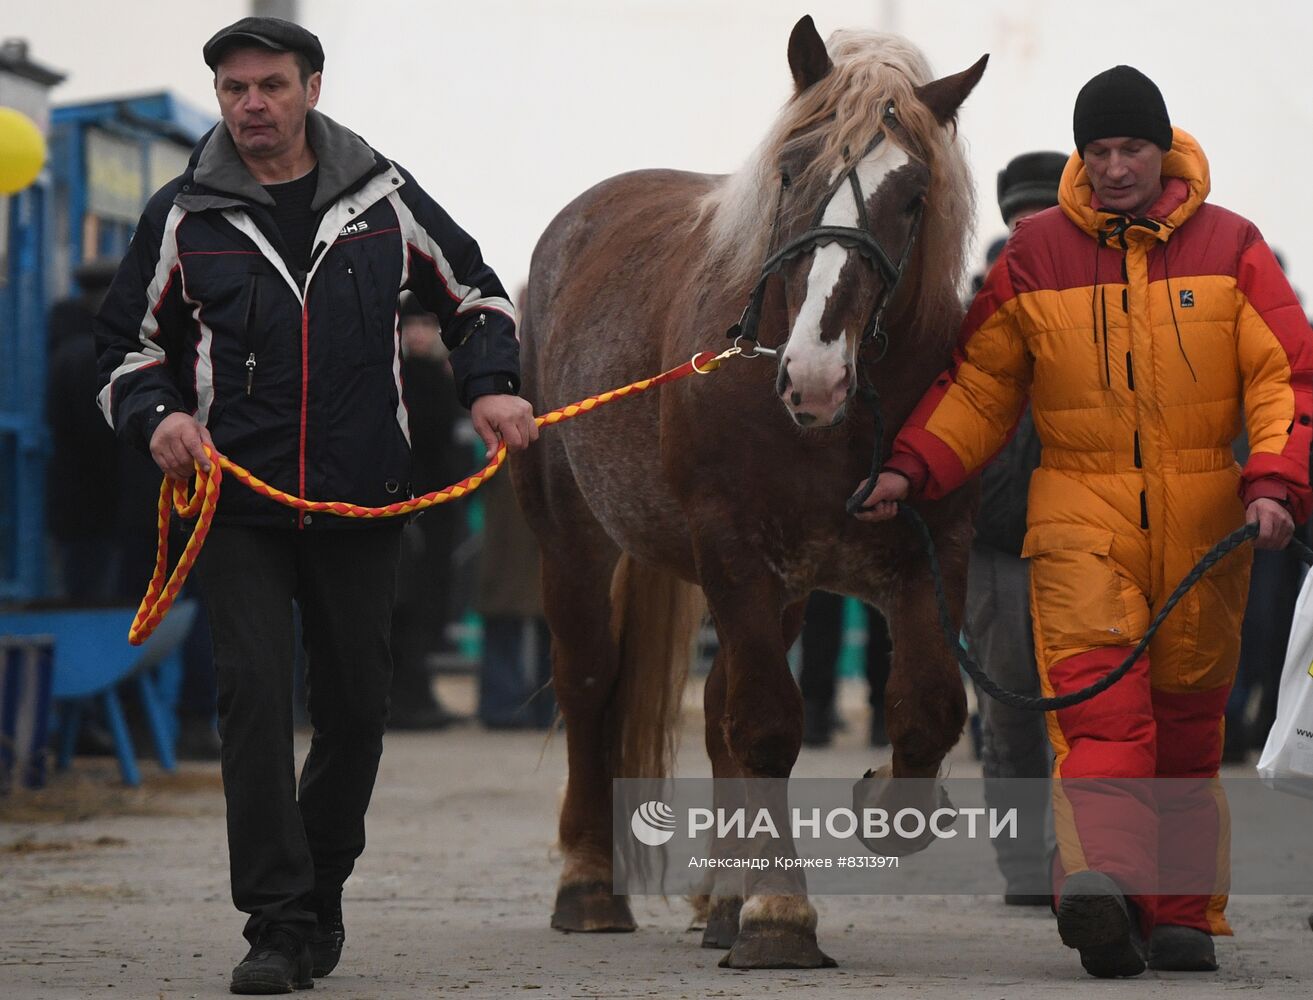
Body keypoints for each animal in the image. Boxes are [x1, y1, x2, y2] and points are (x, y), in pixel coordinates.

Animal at [512, 17, 987, 965]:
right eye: (791, 170)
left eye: (913, 196)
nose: (813, 374)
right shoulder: (730, 548)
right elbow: (766, 723)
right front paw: (779, 915)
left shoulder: (925, 554)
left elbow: (925, 709)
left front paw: (878, 805)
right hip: (574, 538)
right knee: (589, 682)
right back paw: (588, 885)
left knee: (714, 707)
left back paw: (719, 898)